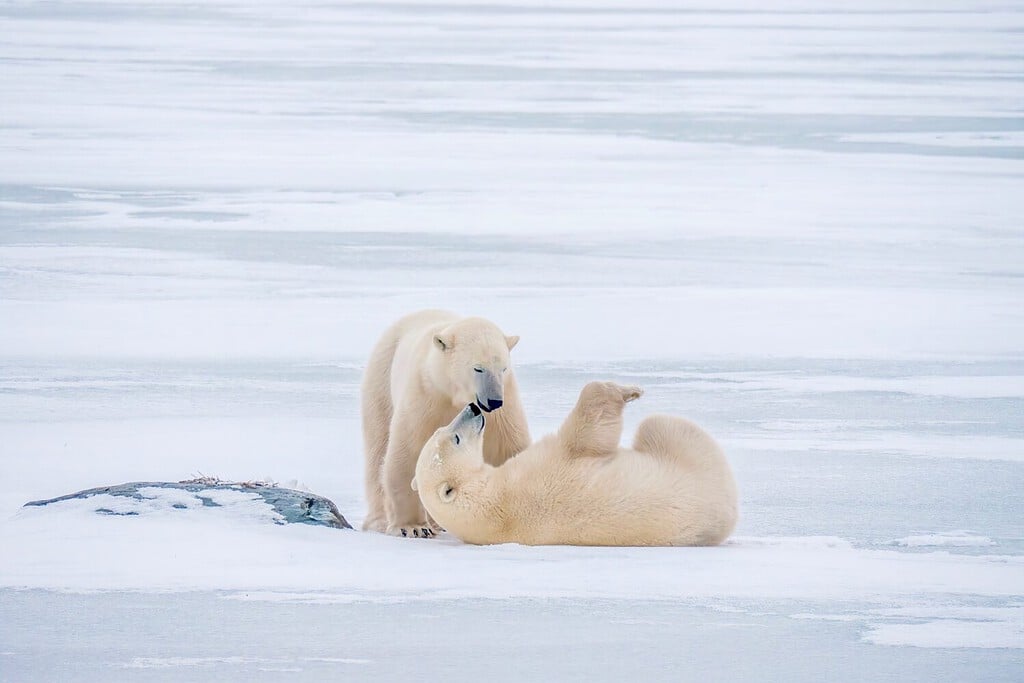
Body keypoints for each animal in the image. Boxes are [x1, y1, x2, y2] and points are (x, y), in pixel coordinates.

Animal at [360, 309, 532, 540]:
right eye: (478, 368)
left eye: (503, 369)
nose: (494, 401)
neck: (453, 392)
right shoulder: (425, 395)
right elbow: (408, 452)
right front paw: (413, 527)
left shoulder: (505, 407)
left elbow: (508, 449)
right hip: (381, 378)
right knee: (377, 446)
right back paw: (379, 521)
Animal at [411, 382, 741, 548]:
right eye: (455, 438)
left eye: (442, 430)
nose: (473, 408)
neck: (492, 507)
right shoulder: (542, 468)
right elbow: (587, 433)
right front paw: (627, 391)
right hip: (694, 456)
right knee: (658, 424)